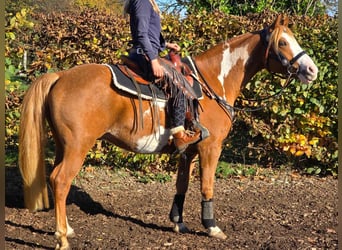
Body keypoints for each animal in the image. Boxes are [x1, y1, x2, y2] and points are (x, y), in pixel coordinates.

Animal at [18, 14, 318, 249]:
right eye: (283, 42)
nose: (312, 70)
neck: (212, 81)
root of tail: (59, 76)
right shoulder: (211, 147)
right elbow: (207, 185)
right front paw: (212, 226)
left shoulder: (189, 150)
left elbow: (181, 184)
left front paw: (178, 223)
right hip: (78, 147)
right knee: (60, 180)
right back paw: (62, 238)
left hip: (63, 145)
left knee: (56, 180)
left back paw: (66, 230)